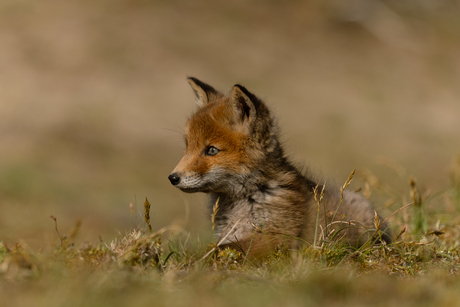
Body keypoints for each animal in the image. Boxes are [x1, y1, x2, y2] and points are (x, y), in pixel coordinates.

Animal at [169, 77, 392, 258]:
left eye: (212, 150)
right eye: (188, 146)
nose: (173, 177)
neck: (250, 197)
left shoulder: (277, 238)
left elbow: (221, 248)